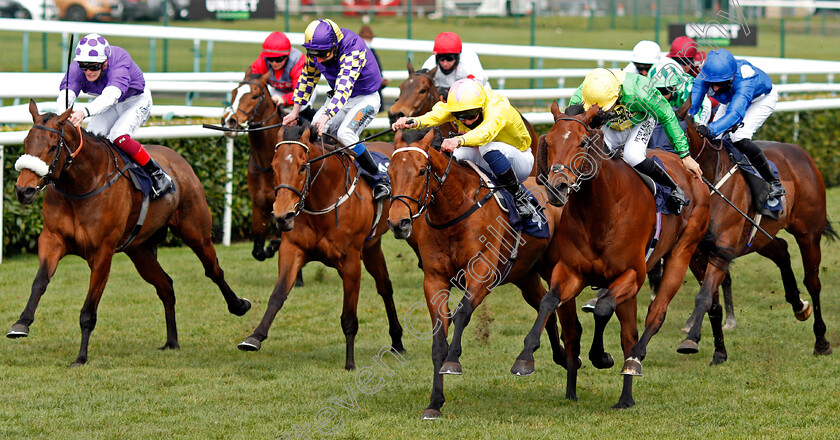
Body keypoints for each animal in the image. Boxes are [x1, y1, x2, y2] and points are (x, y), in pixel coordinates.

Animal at [9, 101, 251, 366]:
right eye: (26, 142)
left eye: (52, 147)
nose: (23, 190)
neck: (82, 184)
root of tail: (178, 160)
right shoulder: (52, 239)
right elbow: (40, 281)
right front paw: (21, 323)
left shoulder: (102, 253)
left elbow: (88, 310)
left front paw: (81, 357)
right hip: (140, 251)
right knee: (166, 286)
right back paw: (172, 341)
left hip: (196, 232)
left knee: (214, 270)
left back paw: (239, 305)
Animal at [236, 124, 406, 372]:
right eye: (273, 167)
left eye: (302, 166)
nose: (282, 216)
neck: (323, 198)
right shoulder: (292, 249)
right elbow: (277, 295)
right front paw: (254, 337)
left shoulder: (351, 261)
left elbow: (349, 316)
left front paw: (350, 362)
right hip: (372, 247)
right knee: (385, 287)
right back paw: (397, 341)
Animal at [390, 128, 568, 420]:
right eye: (389, 172)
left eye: (421, 171)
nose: (398, 223)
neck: (453, 212)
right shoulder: (434, 280)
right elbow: (438, 340)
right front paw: (434, 402)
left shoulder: (483, 272)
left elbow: (462, 313)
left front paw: (453, 361)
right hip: (525, 276)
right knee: (546, 307)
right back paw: (551, 357)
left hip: (554, 266)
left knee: (552, 302)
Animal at [512, 103, 708, 410]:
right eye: (550, 141)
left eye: (582, 142)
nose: (557, 188)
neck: (601, 209)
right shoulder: (571, 270)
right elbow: (548, 302)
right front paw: (525, 357)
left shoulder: (632, 274)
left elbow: (603, 309)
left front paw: (601, 356)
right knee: (628, 333)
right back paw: (622, 396)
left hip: (682, 252)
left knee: (654, 316)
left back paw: (634, 364)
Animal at [676, 104, 832, 364]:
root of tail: (802, 153)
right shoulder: (696, 255)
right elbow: (711, 303)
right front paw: (719, 352)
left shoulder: (721, 250)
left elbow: (705, 296)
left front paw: (691, 340)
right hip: (759, 236)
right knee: (781, 250)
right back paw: (798, 306)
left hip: (808, 233)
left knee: (813, 282)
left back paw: (821, 342)